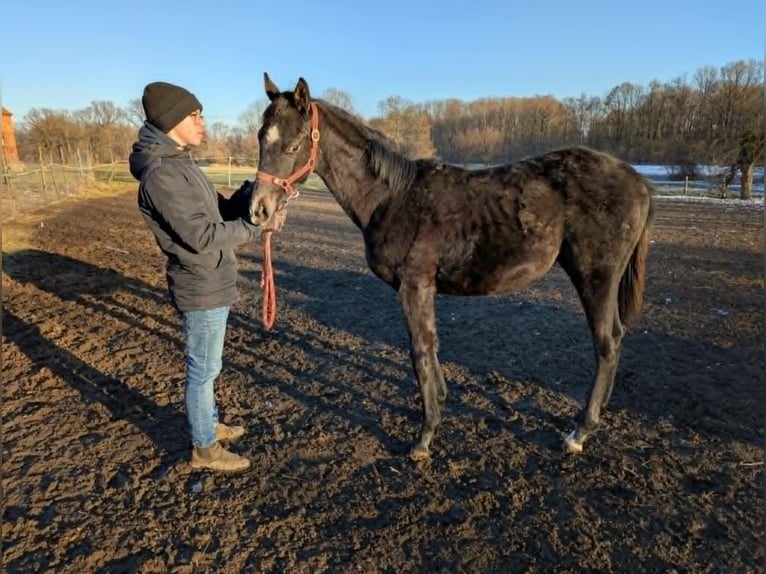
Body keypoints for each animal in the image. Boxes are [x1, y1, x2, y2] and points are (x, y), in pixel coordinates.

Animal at [250, 74, 656, 462]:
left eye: (293, 145)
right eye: (260, 138)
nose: (259, 210)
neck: (392, 198)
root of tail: (639, 180)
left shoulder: (414, 286)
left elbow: (419, 351)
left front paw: (424, 438)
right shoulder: (423, 288)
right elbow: (432, 346)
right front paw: (442, 403)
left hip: (595, 276)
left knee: (606, 343)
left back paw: (580, 432)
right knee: (615, 338)